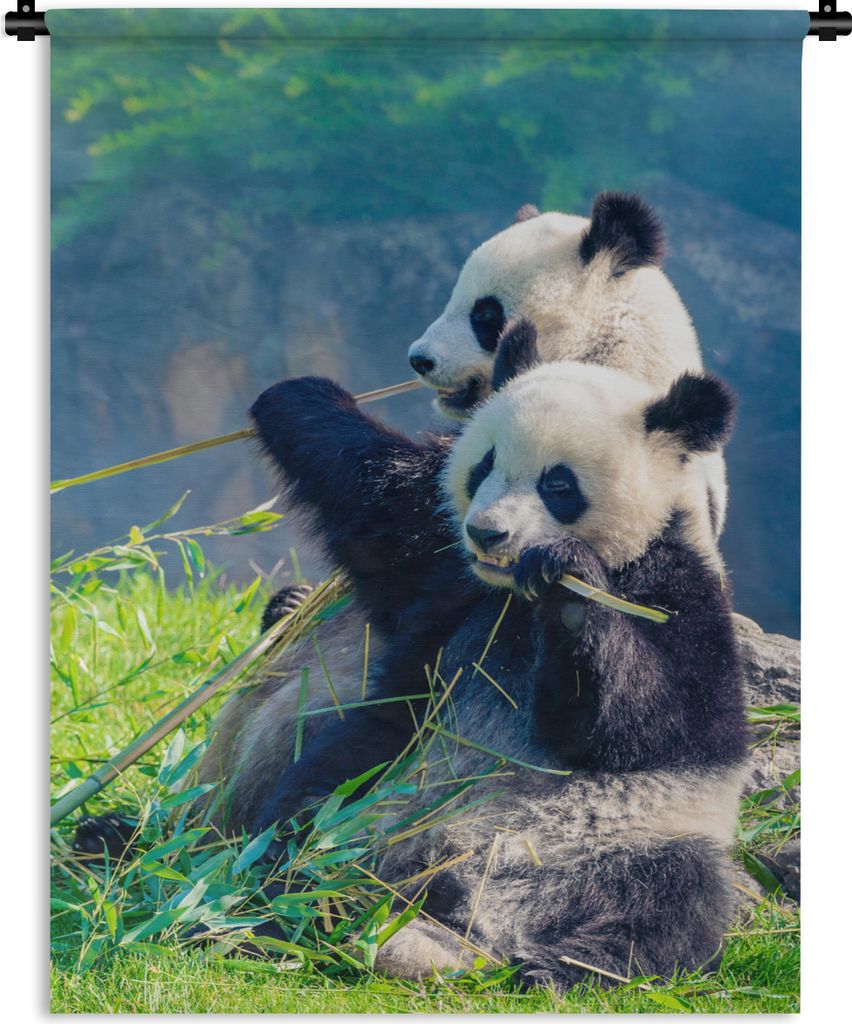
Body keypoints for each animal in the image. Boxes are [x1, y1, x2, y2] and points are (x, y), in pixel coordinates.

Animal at [236, 321, 747, 989]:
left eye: (558, 484)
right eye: (483, 466)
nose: (487, 533)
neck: (514, 597)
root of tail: (463, 910)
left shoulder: (679, 590)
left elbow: (651, 721)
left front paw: (568, 585)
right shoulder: (450, 578)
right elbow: (380, 507)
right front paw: (297, 395)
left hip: (632, 838)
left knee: (674, 902)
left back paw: (557, 966)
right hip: (381, 777)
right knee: (309, 808)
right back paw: (285, 900)